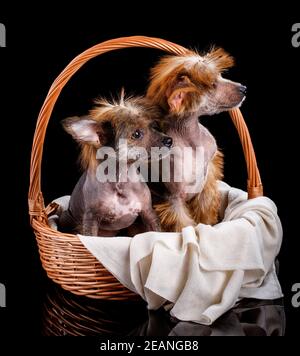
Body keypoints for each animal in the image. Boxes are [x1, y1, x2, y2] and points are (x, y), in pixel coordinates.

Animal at [146, 47, 247, 231]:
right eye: (212, 85)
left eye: (220, 76)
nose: (244, 88)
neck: (190, 139)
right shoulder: (174, 201)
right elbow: (184, 226)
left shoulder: (205, 189)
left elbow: (205, 216)